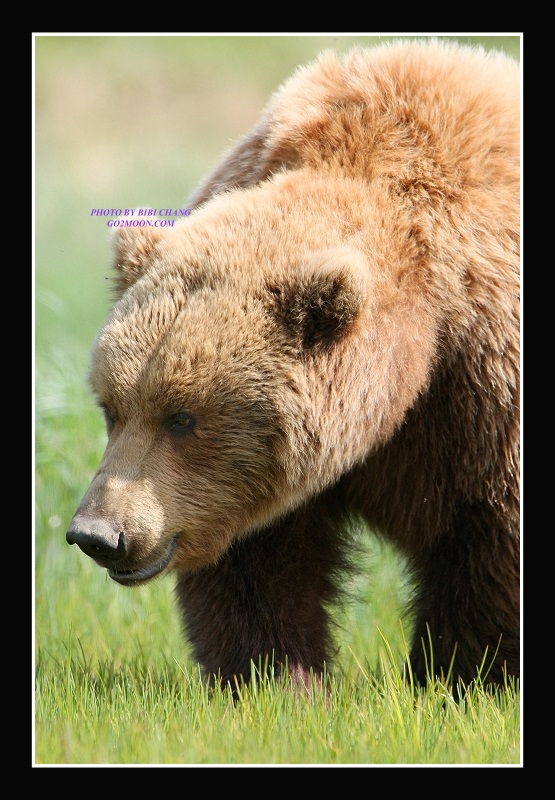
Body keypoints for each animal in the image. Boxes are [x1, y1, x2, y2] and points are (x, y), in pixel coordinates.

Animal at [66, 42, 520, 692]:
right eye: (112, 407)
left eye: (182, 418)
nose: (98, 534)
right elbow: (260, 563)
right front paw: (276, 679)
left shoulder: (483, 381)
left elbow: (490, 539)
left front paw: (459, 676)